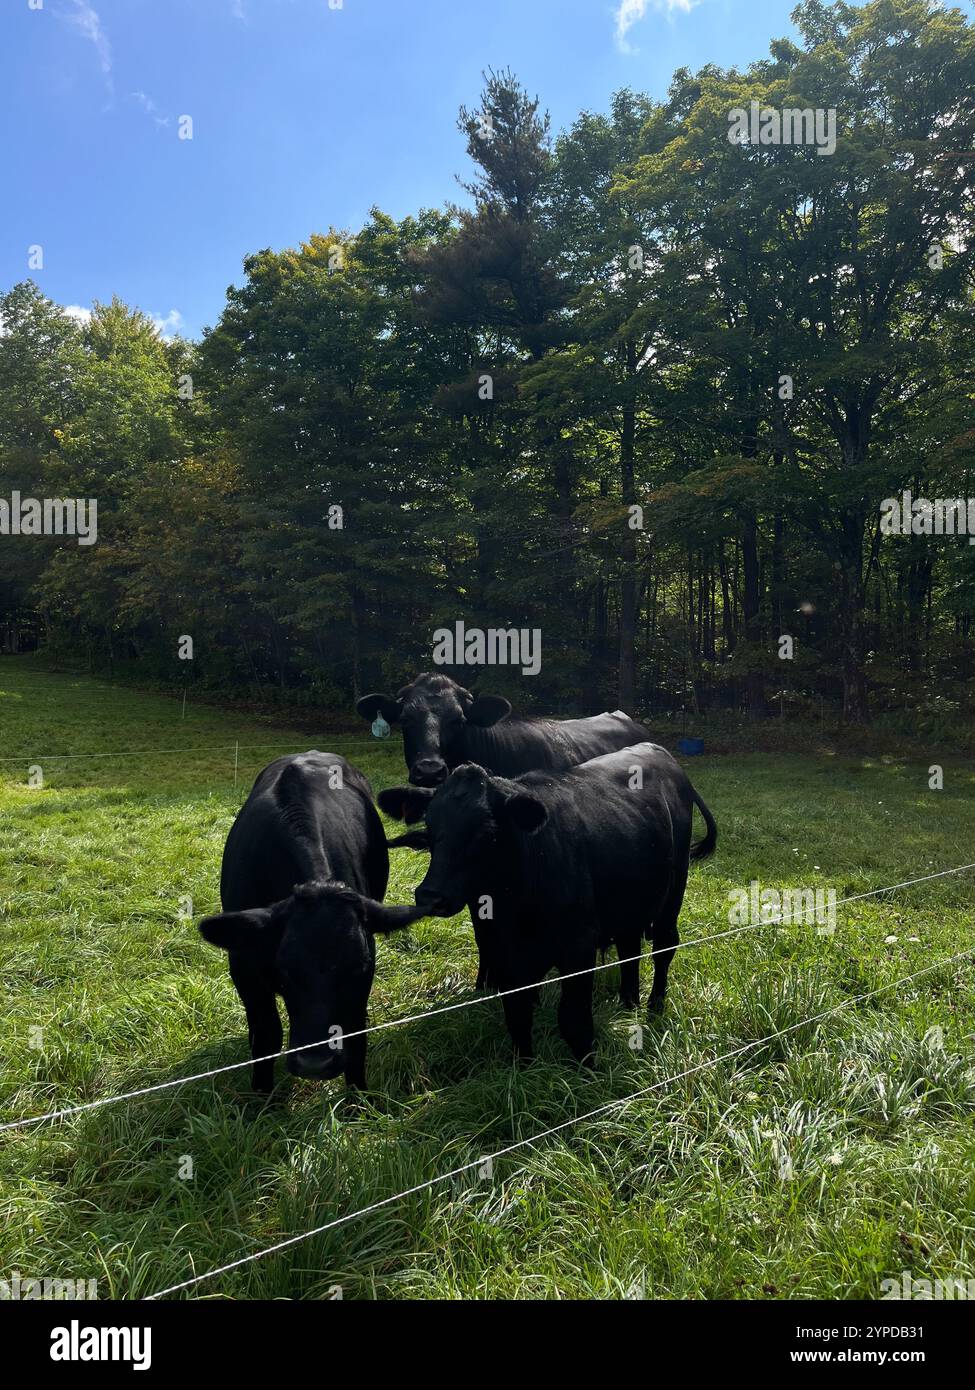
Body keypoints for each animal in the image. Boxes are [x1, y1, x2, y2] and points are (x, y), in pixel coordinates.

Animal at [198, 752, 422, 1093]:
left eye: (356, 966)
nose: (315, 1064)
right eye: (284, 968)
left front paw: (359, 1098)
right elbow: (266, 1035)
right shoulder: (243, 965)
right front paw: (261, 1097)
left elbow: (356, 1034)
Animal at [379, 743, 716, 1065]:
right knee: (629, 948)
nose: (430, 895)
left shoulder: (579, 948)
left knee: (664, 946)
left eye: (486, 833)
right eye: (430, 827)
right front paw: (525, 1068)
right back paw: (628, 1003)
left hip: (673, 891)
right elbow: (517, 1017)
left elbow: (574, 1022)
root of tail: (660, 752)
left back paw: (654, 1007)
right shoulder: (502, 954)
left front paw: (588, 1071)